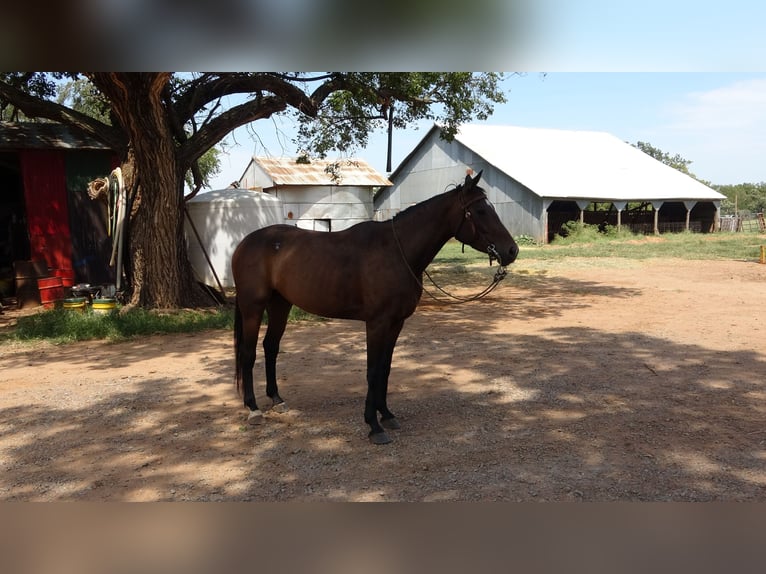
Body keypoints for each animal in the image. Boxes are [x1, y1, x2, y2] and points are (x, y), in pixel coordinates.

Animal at [232, 171, 520, 446]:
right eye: (480, 211)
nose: (512, 250)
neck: (397, 251)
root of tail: (244, 243)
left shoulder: (395, 323)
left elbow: (385, 368)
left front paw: (387, 414)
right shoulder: (377, 323)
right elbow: (372, 371)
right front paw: (373, 425)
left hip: (280, 304)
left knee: (271, 347)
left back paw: (276, 399)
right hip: (253, 307)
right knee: (248, 353)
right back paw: (253, 408)